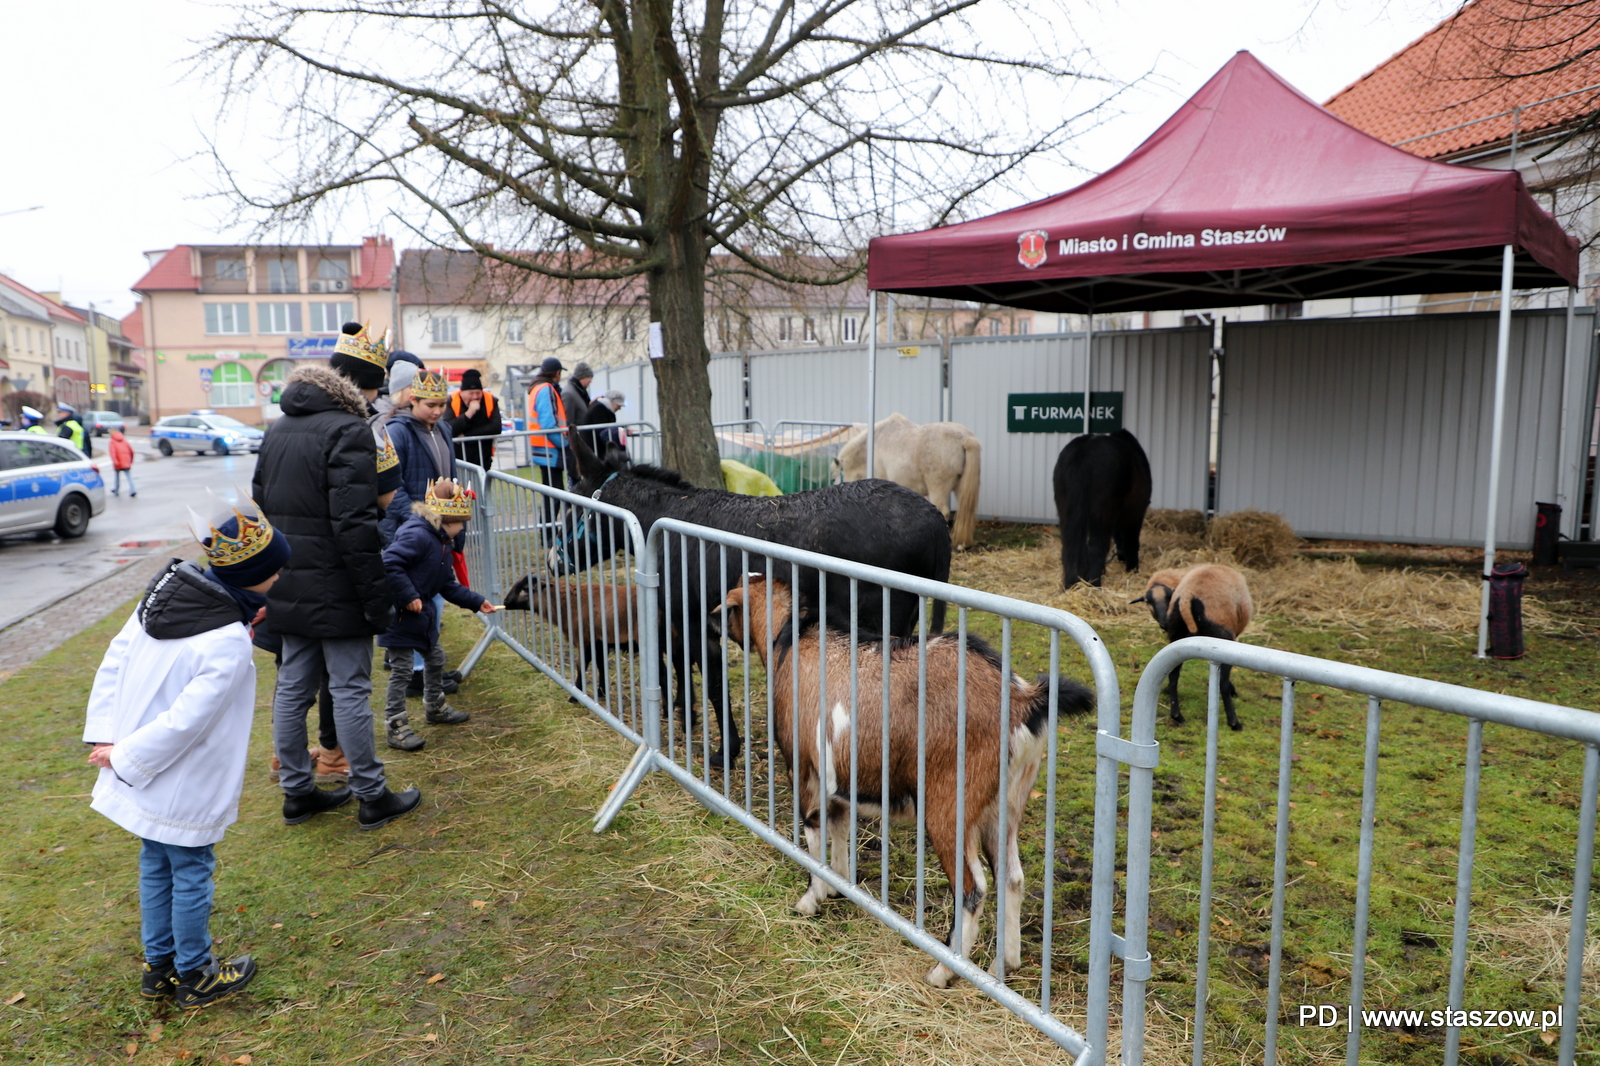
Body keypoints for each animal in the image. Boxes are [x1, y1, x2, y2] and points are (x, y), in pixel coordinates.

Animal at [553, 435, 947, 765]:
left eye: (567, 512)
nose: (553, 563)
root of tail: (936, 519)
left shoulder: (694, 618)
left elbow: (712, 681)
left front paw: (724, 752)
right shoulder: (691, 618)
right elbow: (686, 665)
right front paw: (686, 716)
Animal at [713, 576, 1088, 985]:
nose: (714, 627)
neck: (792, 640)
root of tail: (1024, 700)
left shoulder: (804, 767)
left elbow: (813, 832)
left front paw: (811, 899)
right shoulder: (839, 780)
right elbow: (839, 829)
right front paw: (839, 885)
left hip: (950, 805)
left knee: (972, 888)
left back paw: (943, 971)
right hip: (1004, 805)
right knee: (1012, 878)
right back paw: (1001, 966)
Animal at [1049, 425, 1152, 589]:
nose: (1121, 558)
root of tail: (1083, 453)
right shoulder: (1136, 515)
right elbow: (1132, 542)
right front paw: (1132, 569)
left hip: (1065, 510)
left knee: (1070, 547)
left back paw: (1071, 584)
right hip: (1102, 514)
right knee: (1096, 547)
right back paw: (1094, 584)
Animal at [1132, 560, 1254, 726]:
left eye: (1168, 597)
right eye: (1148, 602)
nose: (1163, 623)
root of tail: (1187, 596)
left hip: (1178, 635)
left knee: (1174, 675)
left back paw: (1177, 715)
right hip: (1223, 637)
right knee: (1222, 682)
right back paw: (1234, 722)